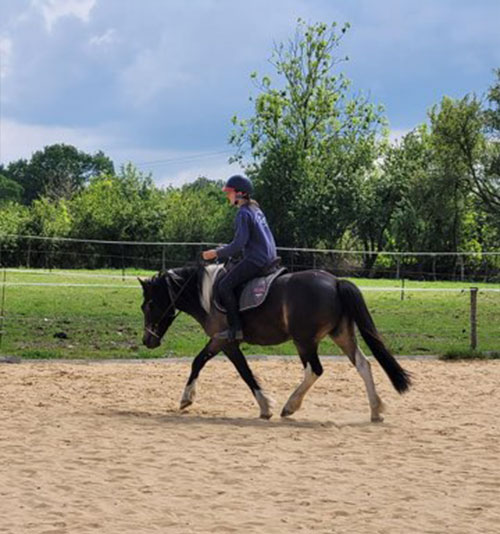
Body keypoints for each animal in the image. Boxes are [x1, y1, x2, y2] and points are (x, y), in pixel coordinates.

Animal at [139, 264, 412, 422]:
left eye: (149, 305)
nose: (147, 340)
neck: (205, 293)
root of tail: (335, 282)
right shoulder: (218, 342)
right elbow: (199, 363)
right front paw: (186, 398)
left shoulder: (225, 342)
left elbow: (242, 371)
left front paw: (265, 405)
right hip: (341, 335)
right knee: (363, 364)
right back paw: (376, 409)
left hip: (304, 341)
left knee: (315, 370)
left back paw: (290, 406)